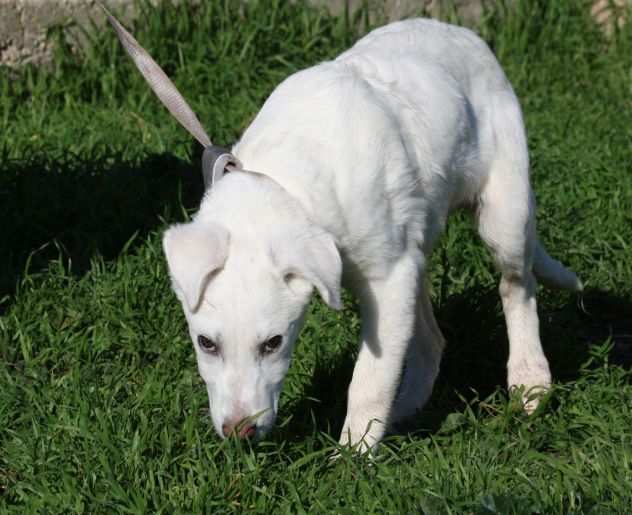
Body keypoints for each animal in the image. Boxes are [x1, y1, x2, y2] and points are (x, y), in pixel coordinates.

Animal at [103, 9, 584, 452]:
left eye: (273, 343)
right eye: (206, 343)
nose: (239, 432)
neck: (288, 182)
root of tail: (458, 31)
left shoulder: (388, 280)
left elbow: (369, 377)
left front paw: (354, 456)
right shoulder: (395, 274)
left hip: (504, 214)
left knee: (517, 288)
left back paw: (529, 380)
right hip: (416, 252)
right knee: (432, 337)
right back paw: (407, 406)